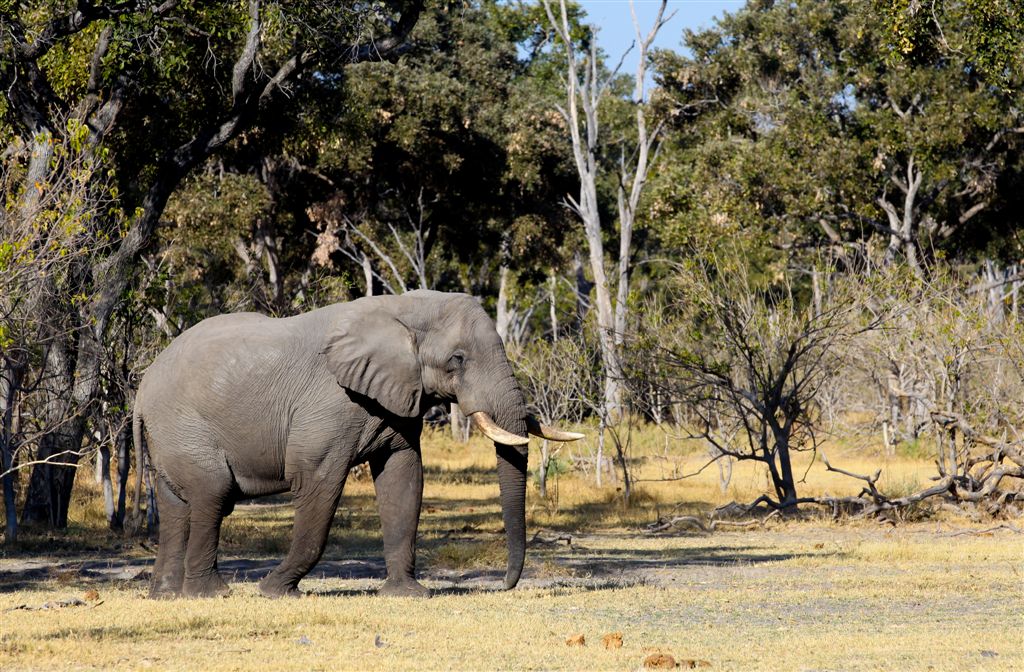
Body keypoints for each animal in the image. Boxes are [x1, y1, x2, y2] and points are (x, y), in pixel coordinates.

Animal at [132, 288, 581, 598]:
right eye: (458, 359)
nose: (504, 585)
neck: (402, 308)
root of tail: (141, 390)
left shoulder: (398, 399)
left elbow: (403, 478)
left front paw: (407, 595)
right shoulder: (329, 404)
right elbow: (317, 481)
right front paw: (275, 591)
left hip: (170, 435)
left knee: (177, 505)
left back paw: (166, 596)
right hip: (184, 426)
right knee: (212, 494)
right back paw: (210, 593)